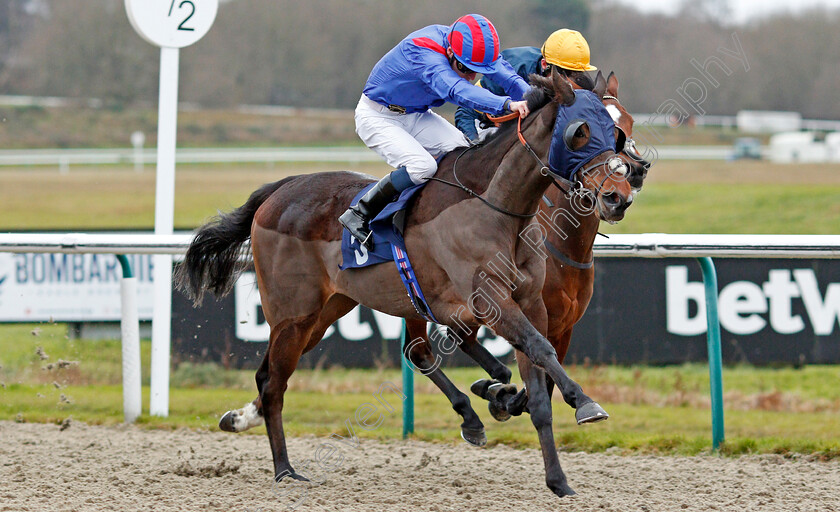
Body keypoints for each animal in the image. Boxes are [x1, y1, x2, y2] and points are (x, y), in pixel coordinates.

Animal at [180, 72, 632, 496]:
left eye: (619, 132)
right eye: (580, 132)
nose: (619, 195)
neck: (499, 207)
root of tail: (280, 188)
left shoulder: (531, 304)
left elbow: (539, 390)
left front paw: (558, 479)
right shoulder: (491, 300)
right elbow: (539, 350)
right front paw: (584, 402)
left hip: (325, 313)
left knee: (279, 373)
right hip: (293, 314)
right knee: (275, 384)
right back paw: (285, 470)